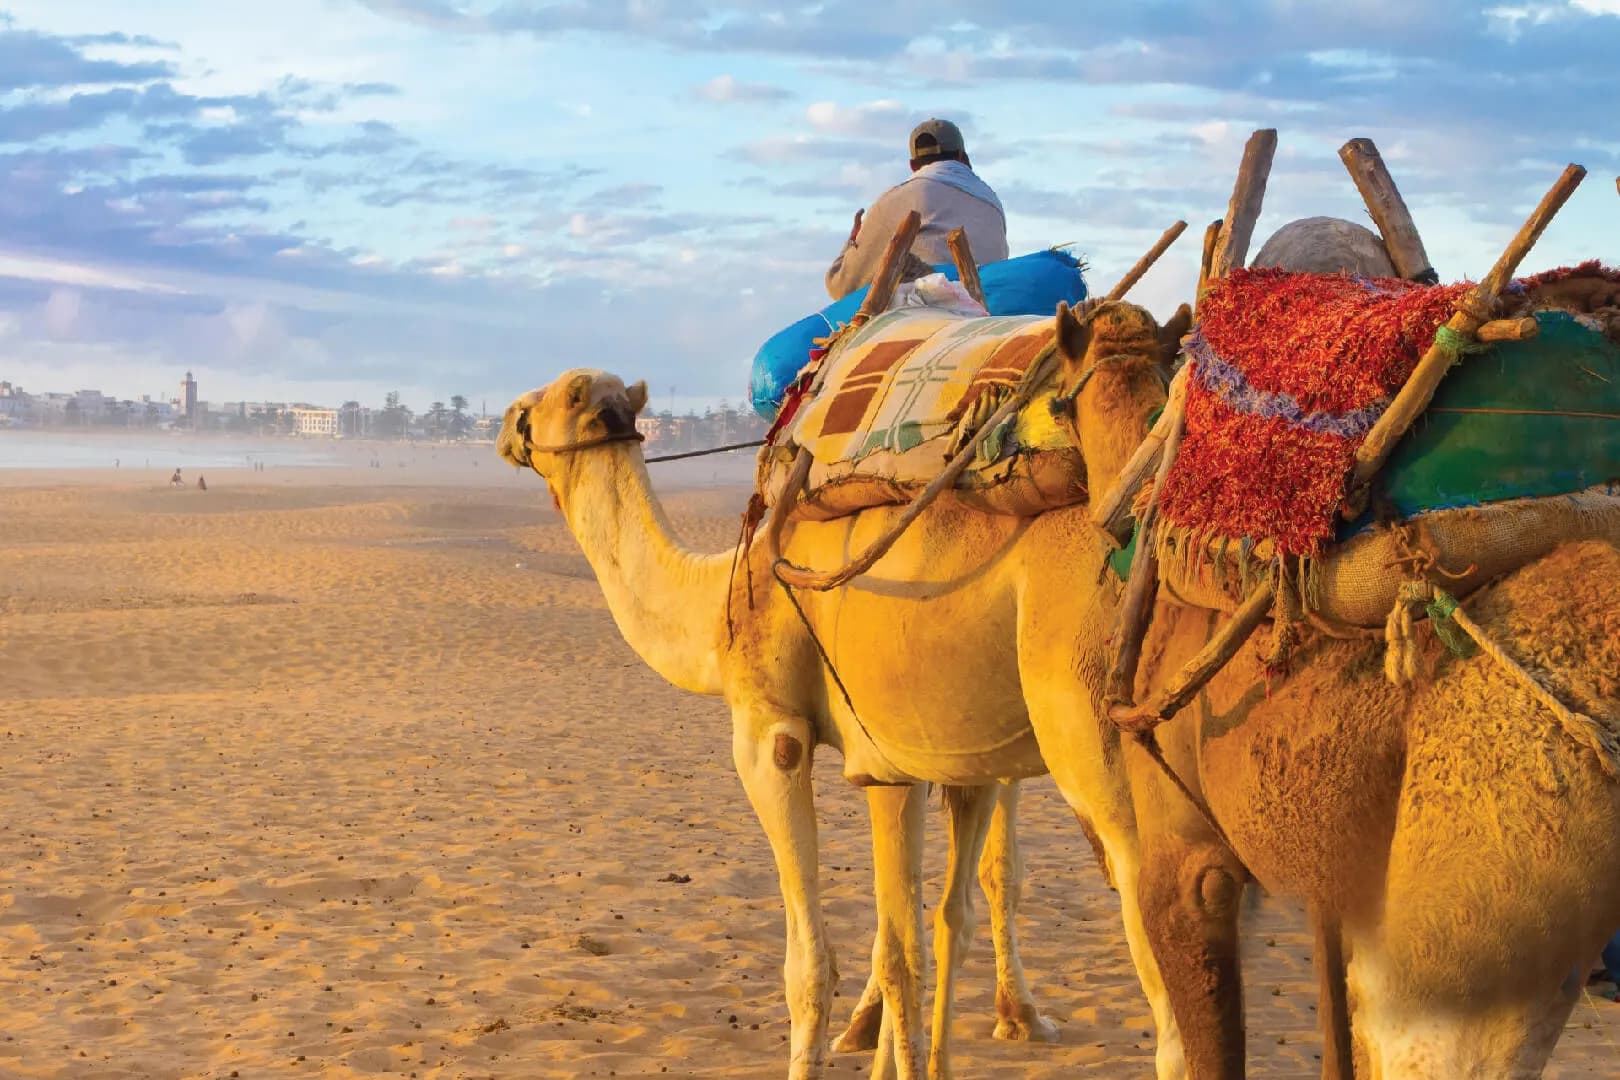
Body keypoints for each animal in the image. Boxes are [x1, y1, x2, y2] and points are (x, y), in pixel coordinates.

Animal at [499, 300, 1191, 1079]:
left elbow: (817, 963)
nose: (506, 421)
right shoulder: (923, 756)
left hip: (1091, 720)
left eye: (555, 398)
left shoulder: (771, 734)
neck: (723, 602)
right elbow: (922, 932)